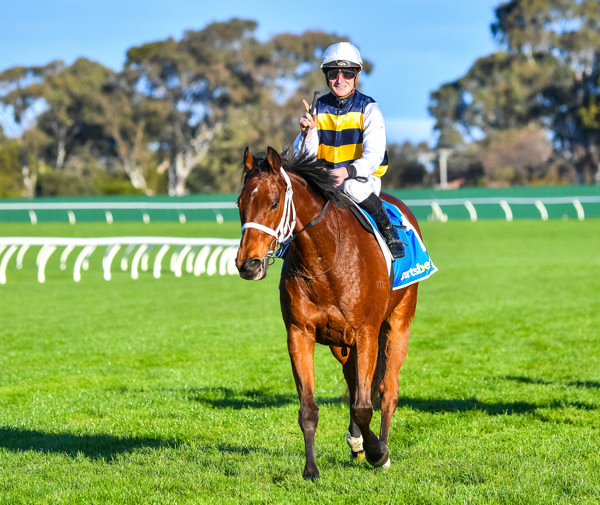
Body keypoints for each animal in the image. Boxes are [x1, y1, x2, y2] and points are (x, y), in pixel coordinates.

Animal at [234, 147, 418, 480]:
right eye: (240, 204)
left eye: (274, 202)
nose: (248, 264)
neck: (325, 260)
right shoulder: (300, 334)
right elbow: (309, 409)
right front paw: (311, 469)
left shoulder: (367, 333)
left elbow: (364, 405)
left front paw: (377, 451)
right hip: (340, 344)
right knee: (354, 380)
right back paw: (357, 442)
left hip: (399, 320)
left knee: (387, 390)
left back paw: (380, 446)